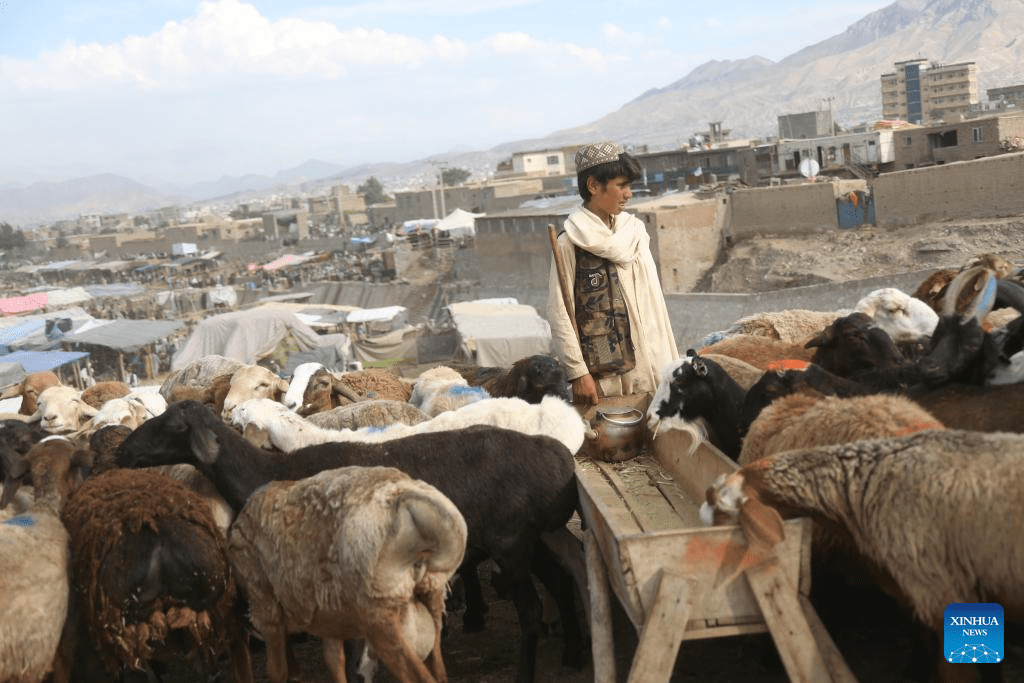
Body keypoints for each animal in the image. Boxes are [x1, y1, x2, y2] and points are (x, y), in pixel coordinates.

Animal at [229, 464, 468, 683]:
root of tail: (406, 500)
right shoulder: (327, 616)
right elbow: (334, 661)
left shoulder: (266, 609)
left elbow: (277, 672)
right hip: (432, 592)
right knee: (439, 669)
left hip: (378, 614)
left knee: (417, 676)